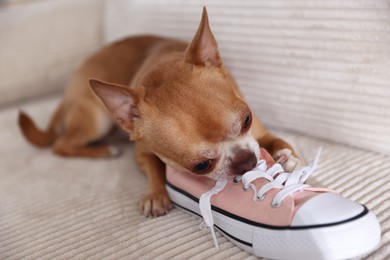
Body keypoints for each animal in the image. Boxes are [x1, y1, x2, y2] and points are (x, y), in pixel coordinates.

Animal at [18, 6, 302, 217]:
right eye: (201, 166)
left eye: (247, 119)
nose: (246, 162)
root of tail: (69, 89)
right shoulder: (142, 153)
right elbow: (154, 168)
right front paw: (155, 195)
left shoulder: (257, 134)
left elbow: (275, 139)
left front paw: (287, 156)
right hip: (95, 119)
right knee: (61, 145)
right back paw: (104, 151)